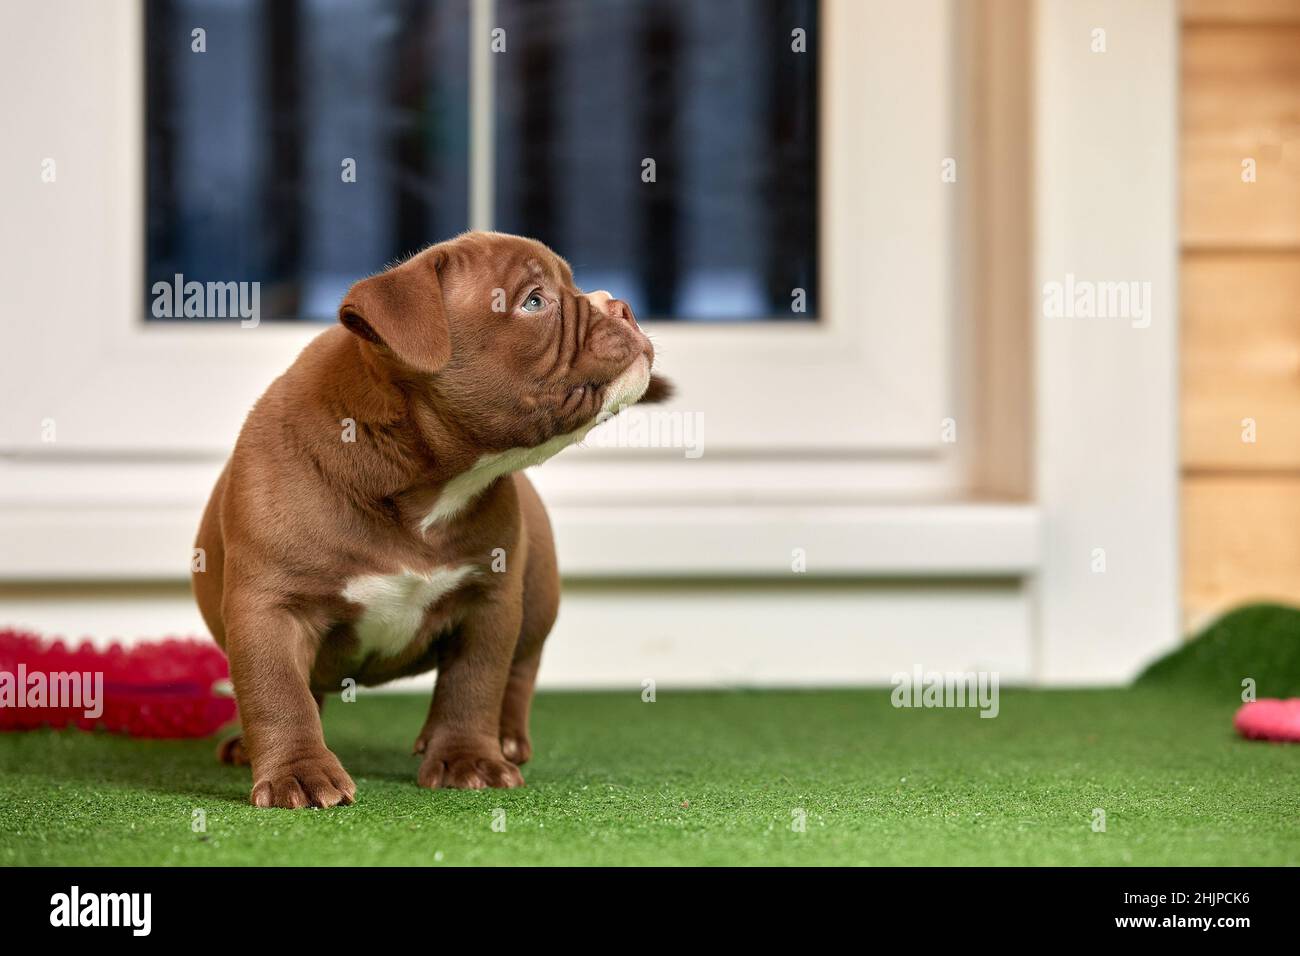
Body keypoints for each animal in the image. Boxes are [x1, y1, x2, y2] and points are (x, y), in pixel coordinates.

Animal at [192, 231, 670, 806]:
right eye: (534, 301)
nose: (621, 305)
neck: (426, 486)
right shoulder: (270, 606)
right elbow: (278, 691)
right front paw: (298, 773)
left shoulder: (489, 601)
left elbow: (474, 685)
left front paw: (469, 759)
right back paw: (249, 746)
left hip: (537, 598)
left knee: (520, 670)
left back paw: (507, 741)